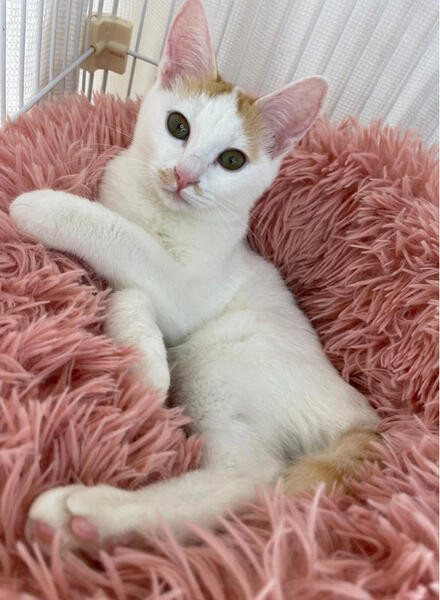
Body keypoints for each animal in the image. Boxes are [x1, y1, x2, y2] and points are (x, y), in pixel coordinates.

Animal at [10, 0, 379, 553]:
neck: (160, 214)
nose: (185, 176)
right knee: (244, 481)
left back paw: (89, 511)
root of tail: (364, 416)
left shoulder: (187, 292)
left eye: (233, 160)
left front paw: (45, 206)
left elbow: (123, 239)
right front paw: (143, 358)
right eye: (178, 126)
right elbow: (130, 290)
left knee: (248, 478)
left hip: (227, 358)